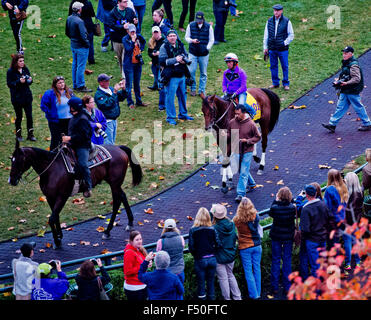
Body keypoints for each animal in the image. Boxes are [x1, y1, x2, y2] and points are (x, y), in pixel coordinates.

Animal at [9, 141, 142, 249]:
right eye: (11, 159)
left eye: (19, 160)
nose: (11, 180)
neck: (52, 170)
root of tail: (118, 148)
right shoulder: (50, 197)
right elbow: (55, 216)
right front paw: (59, 235)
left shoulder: (62, 196)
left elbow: (51, 218)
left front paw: (57, 241)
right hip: (115, 183)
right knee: (123, 196)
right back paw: (130, 223)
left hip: (114, 184)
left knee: (116, 203)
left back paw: (107, 231)